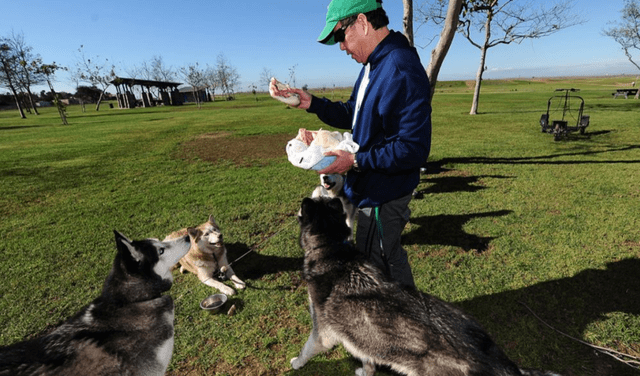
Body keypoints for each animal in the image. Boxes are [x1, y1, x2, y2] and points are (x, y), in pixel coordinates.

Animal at [292, 197, 560, 376]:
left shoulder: (323, 333)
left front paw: (296, 362)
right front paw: (366, 372)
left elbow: (307, 349)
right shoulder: (361, 337)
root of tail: (497, 361)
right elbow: (367, 358)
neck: (333, 248)